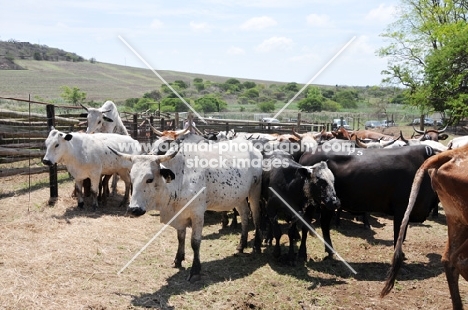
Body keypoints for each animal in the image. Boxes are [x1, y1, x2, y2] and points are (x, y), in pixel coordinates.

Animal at [109, 133, 264, 280]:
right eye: (132, 178)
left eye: (149, 179)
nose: (133, 209)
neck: (180, 178)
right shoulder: (179, 215)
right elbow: (180, 237)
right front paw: (178, 259)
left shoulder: (197, 214)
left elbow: (195, 242)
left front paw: (195, 270)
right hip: (239, 197)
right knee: (244, 215)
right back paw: (241, 245)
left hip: (255, 191)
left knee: (256, 217)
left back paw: (256, 246)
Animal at [300, 144, 438, 258]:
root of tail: (306, 154)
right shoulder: (401, 208)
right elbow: (399, 234)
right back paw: (305, 253)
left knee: (323, 223)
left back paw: (329, 250)